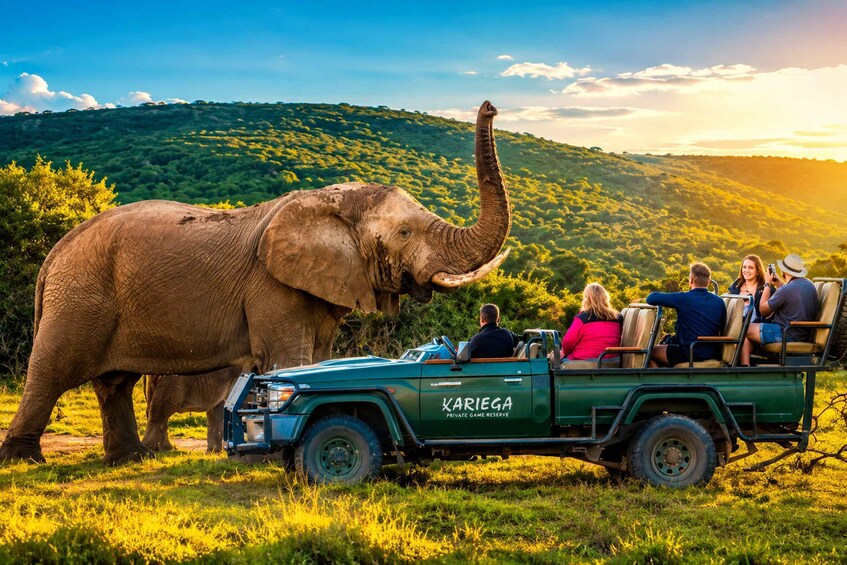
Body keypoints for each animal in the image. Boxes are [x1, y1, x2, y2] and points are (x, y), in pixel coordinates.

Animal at [0, 101, 511, 465]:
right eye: (405, 233)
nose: (491, 106)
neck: (332, 202)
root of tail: (55, 254)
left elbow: (319, 359)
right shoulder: (271, 285)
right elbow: (290, 357)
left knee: (114, 383)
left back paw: (129, 460)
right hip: (80, 294)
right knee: (53, 369)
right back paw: (26, 460)